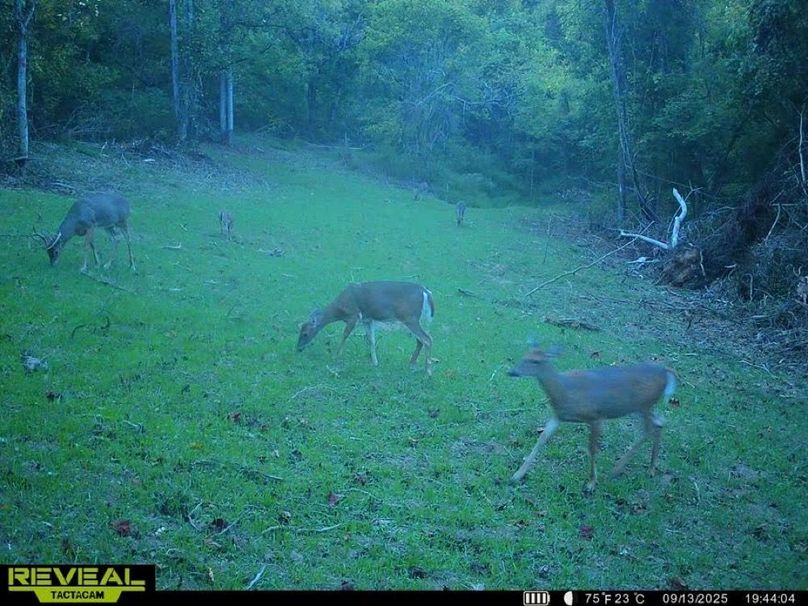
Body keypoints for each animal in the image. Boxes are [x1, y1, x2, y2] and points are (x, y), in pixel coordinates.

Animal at [297, 281, 435, 375]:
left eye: (305, 333)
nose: (298, 348)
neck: (340, 309)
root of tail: (426, 292)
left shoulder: (354, 316)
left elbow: (344, 335)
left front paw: (335, 356)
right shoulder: (368, 320)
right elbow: (371, 340)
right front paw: (375, 363)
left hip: (410, 318)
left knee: (427, 339)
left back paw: (428, 371)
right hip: (416, 319)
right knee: (421, 340)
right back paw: (412, 364)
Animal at [507, 344, 677, 492]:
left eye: (535, 361)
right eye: (524, 356)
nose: (512, 372)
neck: (565, 391)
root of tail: (665, 371)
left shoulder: (596, 416)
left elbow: (592, 449)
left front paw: (591, 483)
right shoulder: (558, 416)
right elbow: (541, 439)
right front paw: (517, 475)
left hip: (643, 405)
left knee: (650, 428)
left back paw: (617, 469)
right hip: (644, 407)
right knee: (660, 423)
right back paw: (651, 468)